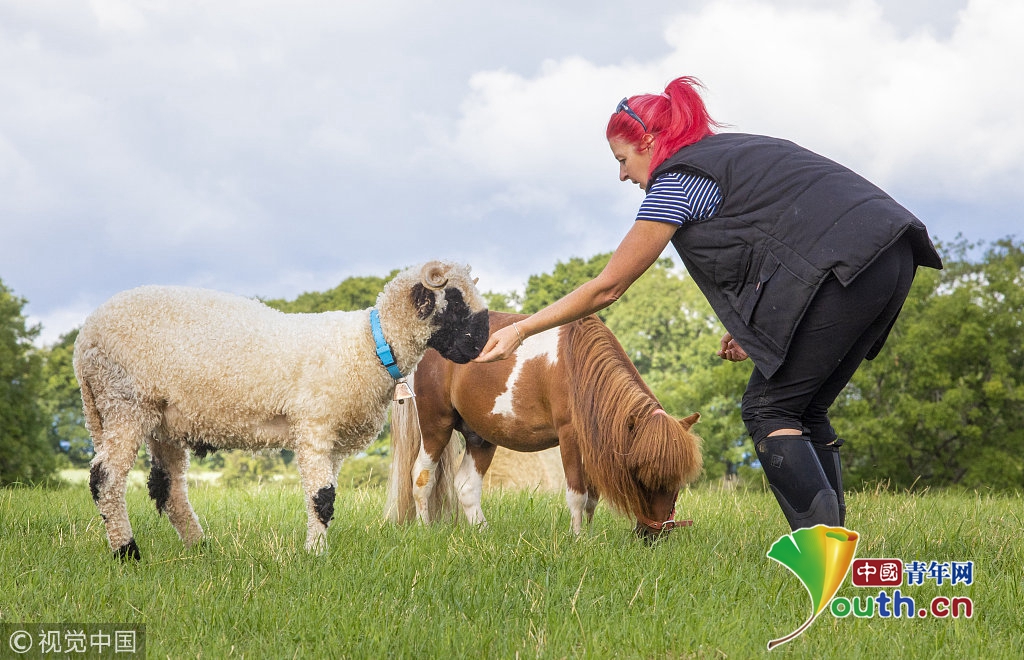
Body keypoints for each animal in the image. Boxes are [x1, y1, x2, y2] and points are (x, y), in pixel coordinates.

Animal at [74, 259, 489, 556]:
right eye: (454, 300)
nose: (480, 346)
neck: (367, 345)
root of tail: (85, 339)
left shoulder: (333, 442)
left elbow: (326, 496)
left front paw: (317, 547)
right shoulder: (314, 426)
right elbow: (322, 497)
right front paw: (316, 554)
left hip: (162, 421)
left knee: (169, 488)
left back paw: (200, 547)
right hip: (125, 402)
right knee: (106, 479)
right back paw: (126, 551)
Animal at [385, 311, 704, 536]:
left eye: (678, 481)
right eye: (642, 475)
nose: (654, 535)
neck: (579, 365)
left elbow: (592, 499)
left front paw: (590, 537)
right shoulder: (570, 437)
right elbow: (578, 495)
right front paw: (578, 540)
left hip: (481, 436)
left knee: (466, 486)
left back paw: (483, 533)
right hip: (435, 425)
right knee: (421, 477)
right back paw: (426, 530)